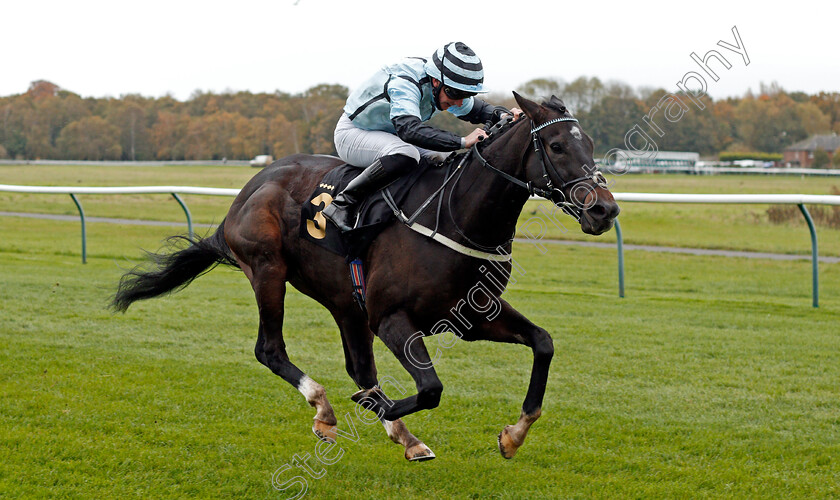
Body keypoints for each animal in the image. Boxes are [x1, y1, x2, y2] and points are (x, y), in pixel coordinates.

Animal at [111, 93, 620, 460]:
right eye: (556, 146)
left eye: (592, 146)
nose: (604, 210)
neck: (457, 215)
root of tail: (248, 189)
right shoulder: (392, 317)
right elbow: (430, 389)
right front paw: (375, 409)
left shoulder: (472, 317)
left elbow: (543, 343)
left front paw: (513, 435)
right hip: (268, 271)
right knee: (270, 349)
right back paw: (325, 408)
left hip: (344, 302)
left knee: (359, 366)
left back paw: (400, 434)